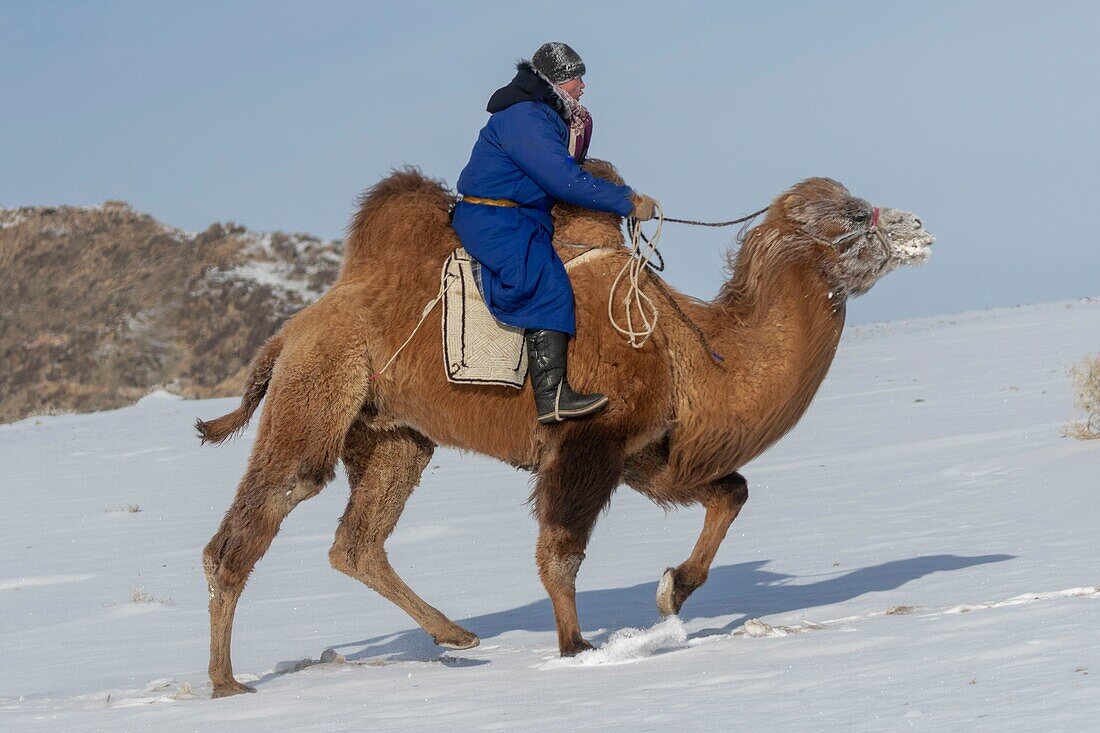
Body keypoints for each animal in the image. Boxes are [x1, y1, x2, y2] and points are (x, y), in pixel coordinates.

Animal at [193, 161, 932, 695]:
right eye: (853, 214)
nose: (919, 223)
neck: (699, 350)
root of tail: (292, 329)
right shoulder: (589, 441)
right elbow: (561, 551)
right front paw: (577, 649)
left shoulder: (646, 452)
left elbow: (732, 491)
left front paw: (672, 591)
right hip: (317, 392)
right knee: (255, 521)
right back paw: (227, 682)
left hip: (394, 435)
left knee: (356, 542)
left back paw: (456, 635)